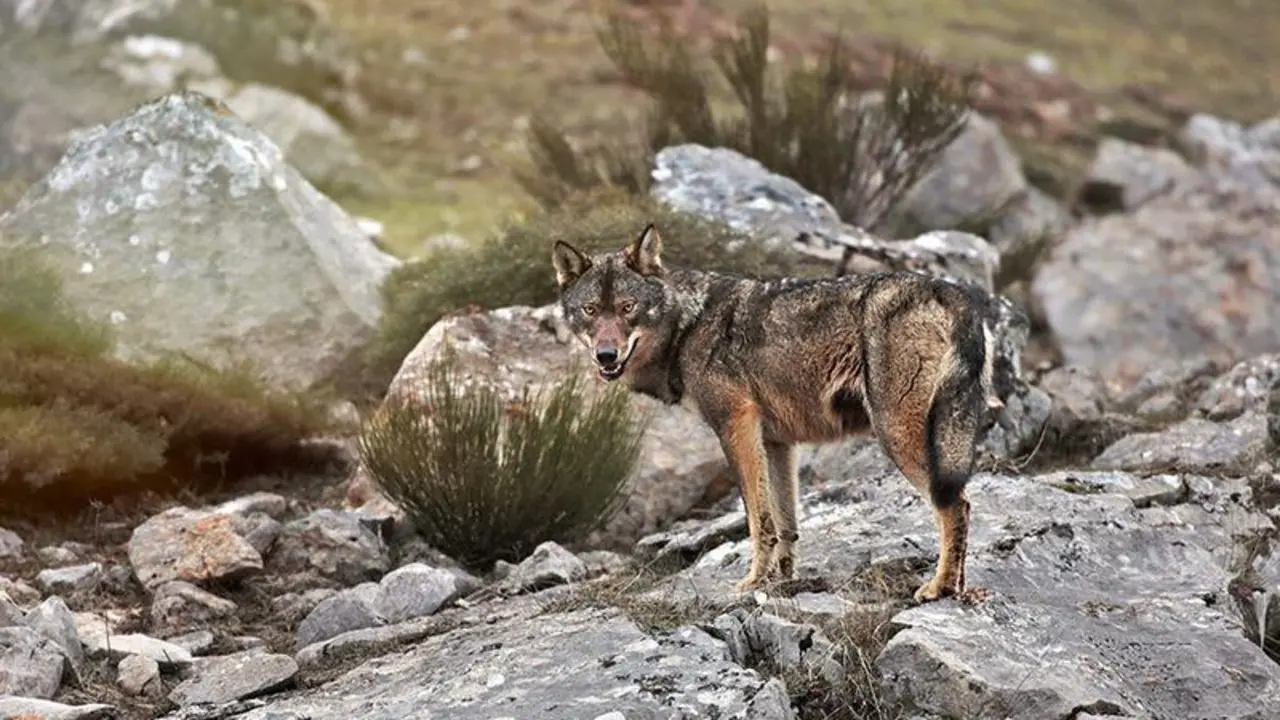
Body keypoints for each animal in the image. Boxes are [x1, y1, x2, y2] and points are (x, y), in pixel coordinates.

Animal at [551, 224, 1003, 602]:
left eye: (627, 307)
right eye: (591, 311)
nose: (606, 355)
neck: (686, 326)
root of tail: (950, 290)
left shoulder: (736, 427)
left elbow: (758, 519)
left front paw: (753, 582)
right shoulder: (778, 442)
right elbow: (786, 523)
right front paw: (784, 580)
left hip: (897, 435)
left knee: (956, 506)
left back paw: (939, 587)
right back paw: (961, 587)